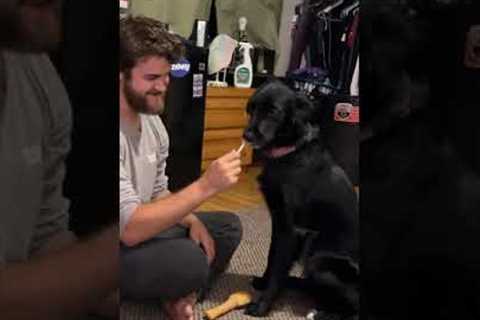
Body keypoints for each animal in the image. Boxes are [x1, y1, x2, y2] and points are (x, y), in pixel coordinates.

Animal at [242, 81, 358, 318]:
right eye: (251, 109)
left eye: (273, 111)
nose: (247, 135)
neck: (289, 153)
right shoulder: (278, 222)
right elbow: (272, 257)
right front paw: (262, 282)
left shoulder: (292, 230)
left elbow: (278, 268)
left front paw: (262, 306)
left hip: (319, 260)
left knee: (354, 310)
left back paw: (320, 313)